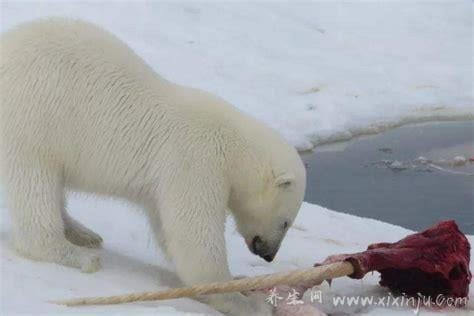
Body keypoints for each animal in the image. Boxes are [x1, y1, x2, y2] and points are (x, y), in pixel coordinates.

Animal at [0, 19, 306, 316]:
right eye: (285, 221)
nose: (269, 254)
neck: (233, 146)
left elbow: (167, 230)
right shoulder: (194, 159)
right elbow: (194, 238)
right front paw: (248, 301)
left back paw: (83, 233)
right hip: (33, 119)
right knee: (35, 183)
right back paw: (76, 253)